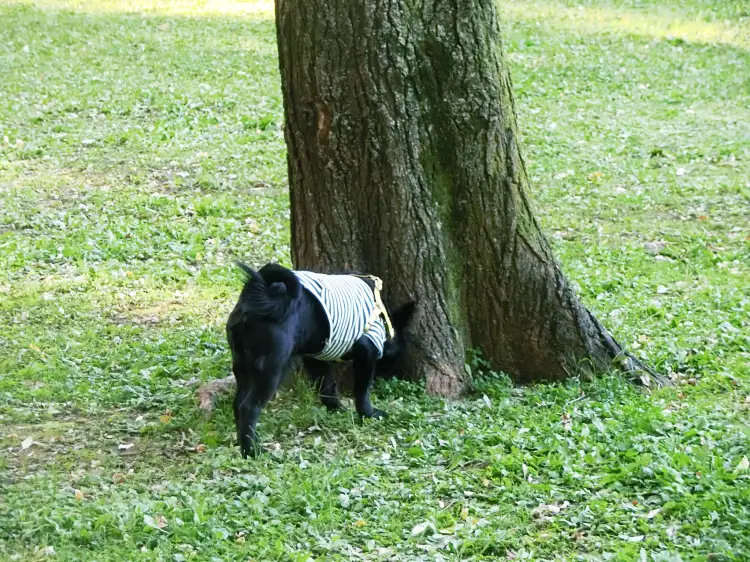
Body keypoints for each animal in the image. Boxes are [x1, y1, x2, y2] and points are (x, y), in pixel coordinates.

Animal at [228, 262, 418, 456]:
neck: (384, 322)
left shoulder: (315, 358)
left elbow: (327, 388)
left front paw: (337, 409)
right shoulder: (367, 352)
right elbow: (362, 392)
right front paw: (368, 414)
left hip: (243, 366)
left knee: (238, 404)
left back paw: (244, 442)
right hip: (273, 369)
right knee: (249, 407)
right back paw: (252, 451)